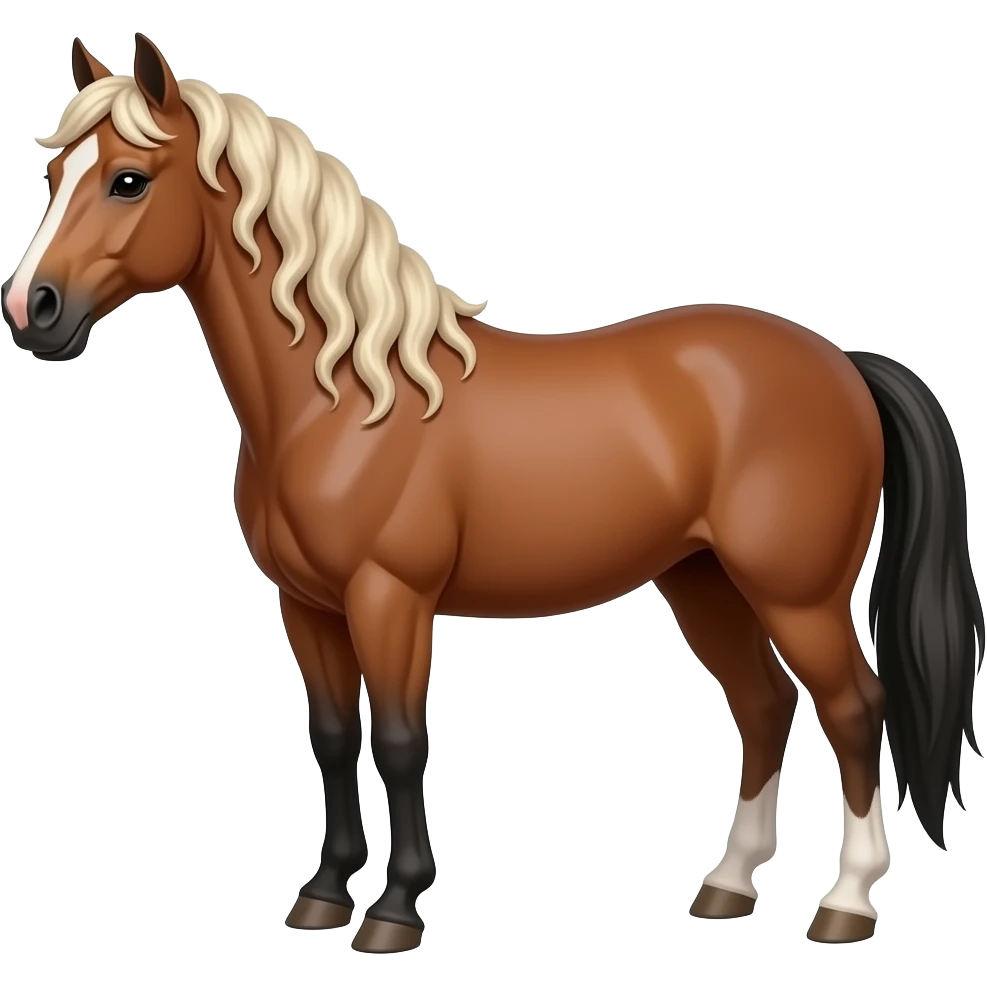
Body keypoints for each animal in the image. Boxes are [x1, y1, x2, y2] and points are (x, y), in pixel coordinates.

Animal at [2, 34, 982, 953]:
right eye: (55, 174)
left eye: (128, 180)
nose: (31, 310)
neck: (347, 395)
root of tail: (839, 363)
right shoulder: (306, 605)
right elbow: (332, 736)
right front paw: (321, 896)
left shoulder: (389, 598)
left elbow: (401, 742)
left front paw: (394, 909)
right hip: (703, 583)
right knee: (764, 705)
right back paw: (727, 885)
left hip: (796, 594)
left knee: (854, 708)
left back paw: (845, 902)